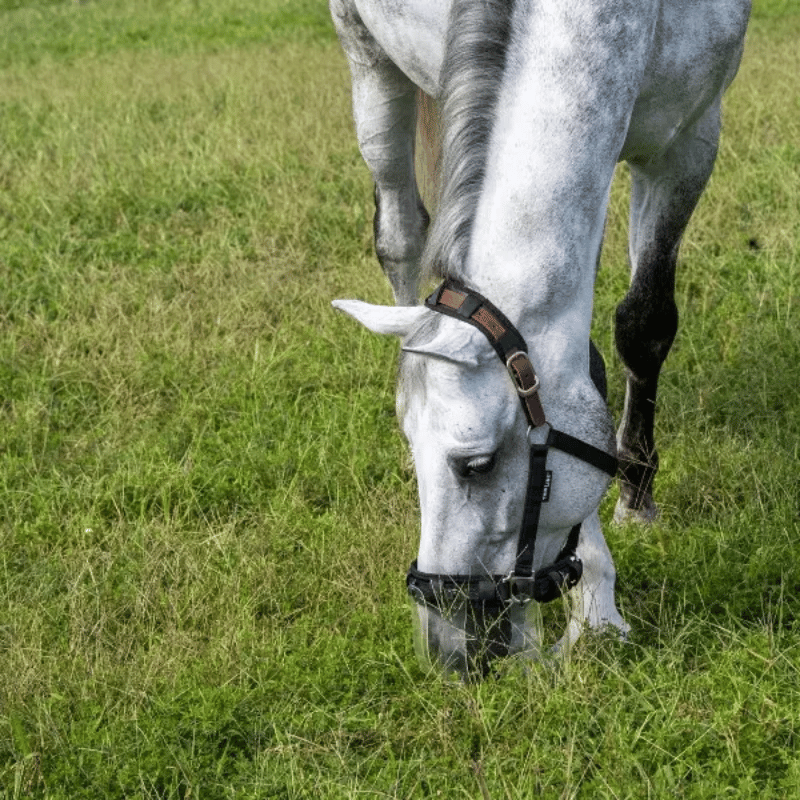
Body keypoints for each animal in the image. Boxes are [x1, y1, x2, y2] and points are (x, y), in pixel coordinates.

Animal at [328, 0, 752, 680]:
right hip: (368, 59)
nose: (447, 649)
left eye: (475, 465)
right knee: (401, 235)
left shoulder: (687, 142)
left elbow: (643, 325)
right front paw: (597, 609)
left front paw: (635, 502)